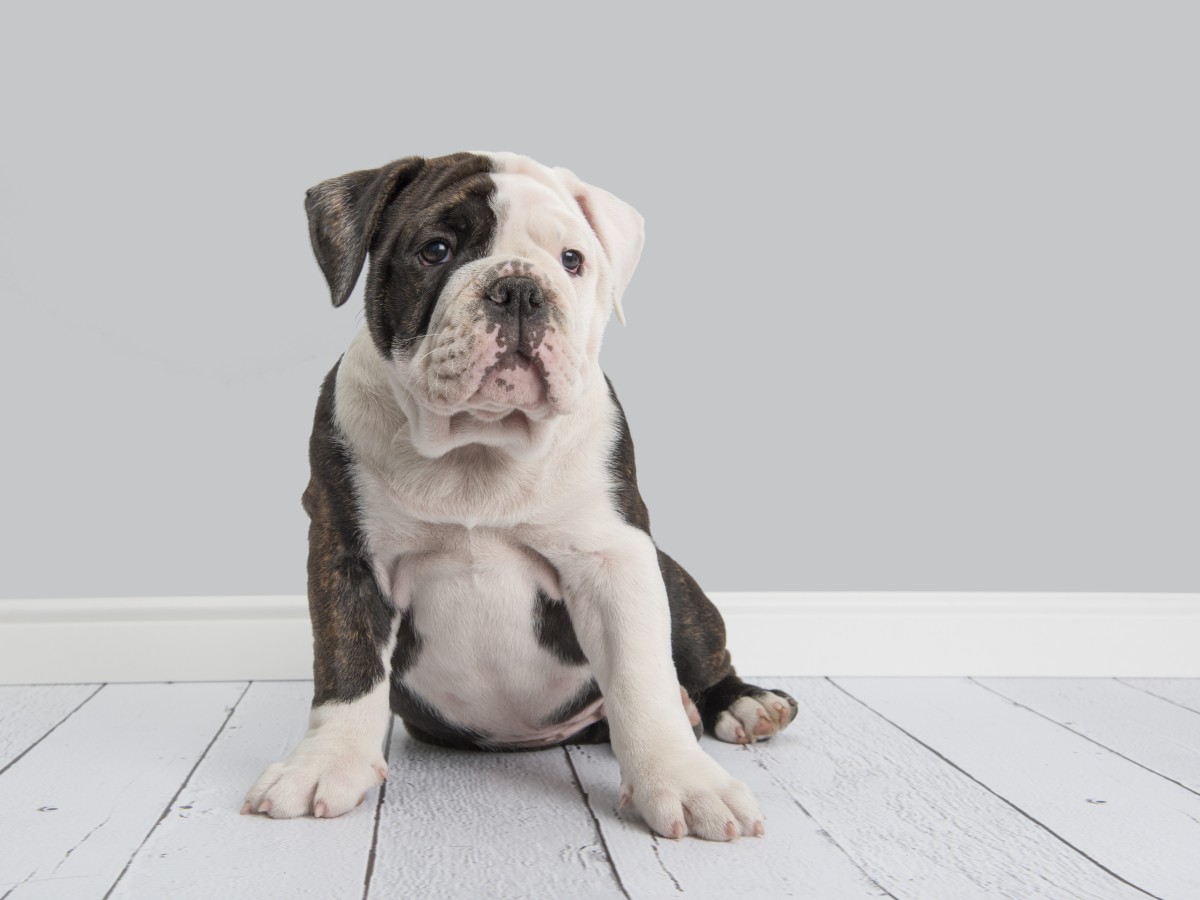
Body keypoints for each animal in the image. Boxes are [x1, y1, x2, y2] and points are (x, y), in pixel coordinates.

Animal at [243, 151, 796, 844]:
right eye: (435, 249)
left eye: (572, 260)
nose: (520, 289)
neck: (481, 444)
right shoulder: (345, 553)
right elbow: (347, 667)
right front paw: (322, 765)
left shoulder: (616, 560)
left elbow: (642, 679)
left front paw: (686, 782)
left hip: (676, 584)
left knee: (699, 659)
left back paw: (743, 704)